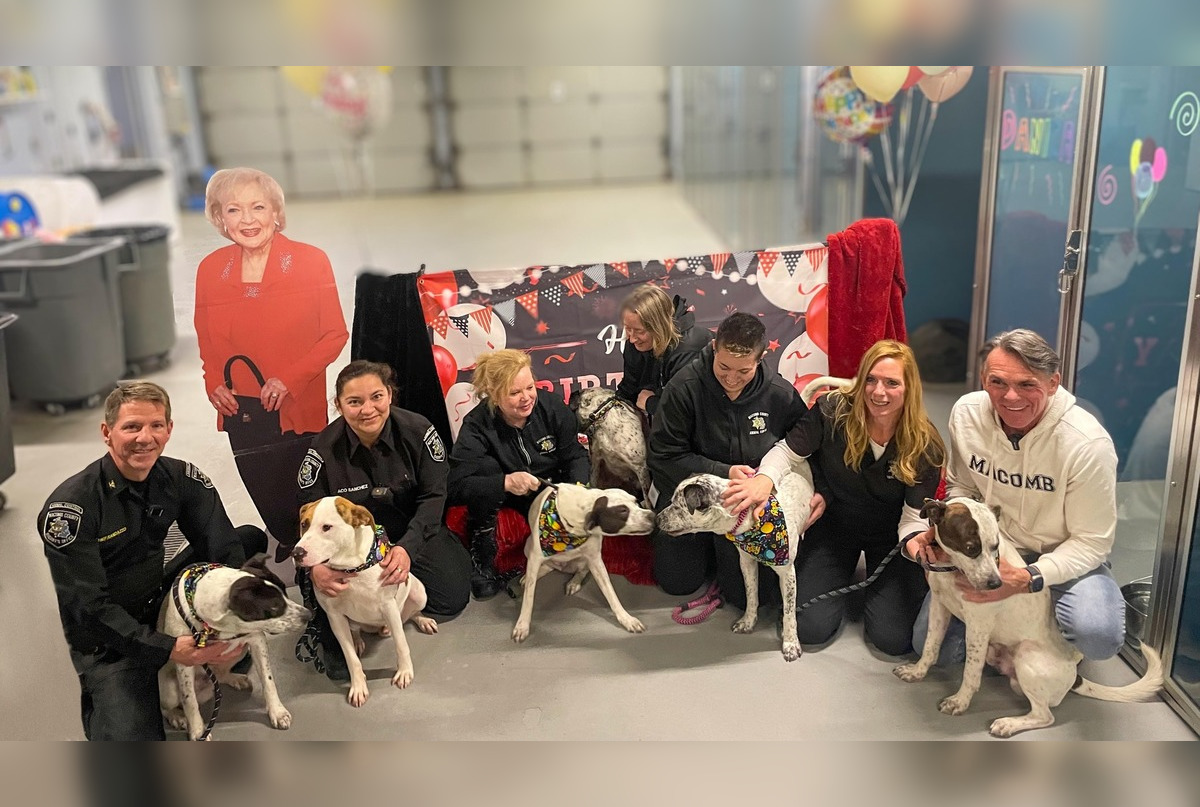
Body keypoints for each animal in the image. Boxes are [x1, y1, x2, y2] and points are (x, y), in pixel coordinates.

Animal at [157, 554, 312, 739]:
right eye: (274, 607)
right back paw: (177, 716)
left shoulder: (257, 639)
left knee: (221, 675)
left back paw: (235, 678)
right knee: (166, 706)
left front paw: (277, 712)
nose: (309, 614)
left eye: (285, 591)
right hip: (169, 689)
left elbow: (268, 680)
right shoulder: (185, 659)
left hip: (239, 652)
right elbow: (189, 700)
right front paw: (198, 731)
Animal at [292, 494, 439, 710]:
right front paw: (358, 687)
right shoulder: (335, 617)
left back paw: (423, 621)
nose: (296, 553)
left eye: (327, 527)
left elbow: (401, 644)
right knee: (355, 630)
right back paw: (358, 640)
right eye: (304, 524)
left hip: (420, 594)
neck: (350, 568)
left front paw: (404, 672)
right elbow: (350, 658)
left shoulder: (388, 606)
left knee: (411, 614)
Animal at [508, 482, 652, 648]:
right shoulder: (535, 557)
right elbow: (528, 598)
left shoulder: (595, 559)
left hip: (584, 560)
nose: (652, 515)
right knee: (545, 567)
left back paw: (574, 582)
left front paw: (626, 618)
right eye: (623, 511)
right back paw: (529, 576)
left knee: (581, 570)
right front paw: (522, 625)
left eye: (636, 502)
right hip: (528, 544)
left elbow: (611, 594)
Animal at [657, 465, 816, 662]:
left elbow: (789, 612)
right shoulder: (746, 563)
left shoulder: (787, 573)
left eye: (678, 506)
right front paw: (748, 622)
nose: (657, 519)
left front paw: (791, 643)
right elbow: (751, 596)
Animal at [892, 494, 1161, 734]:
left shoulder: (979, 625)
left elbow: (970, 671)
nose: (995, 584)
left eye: (995, 547)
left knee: (1045, 716)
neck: (952, 567)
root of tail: (1075, 677)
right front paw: (917, 671)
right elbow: (930, 645)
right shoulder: (940, 606)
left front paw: (960, 701)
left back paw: (1008, 724)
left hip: (1026, 655)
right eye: (971, 548)